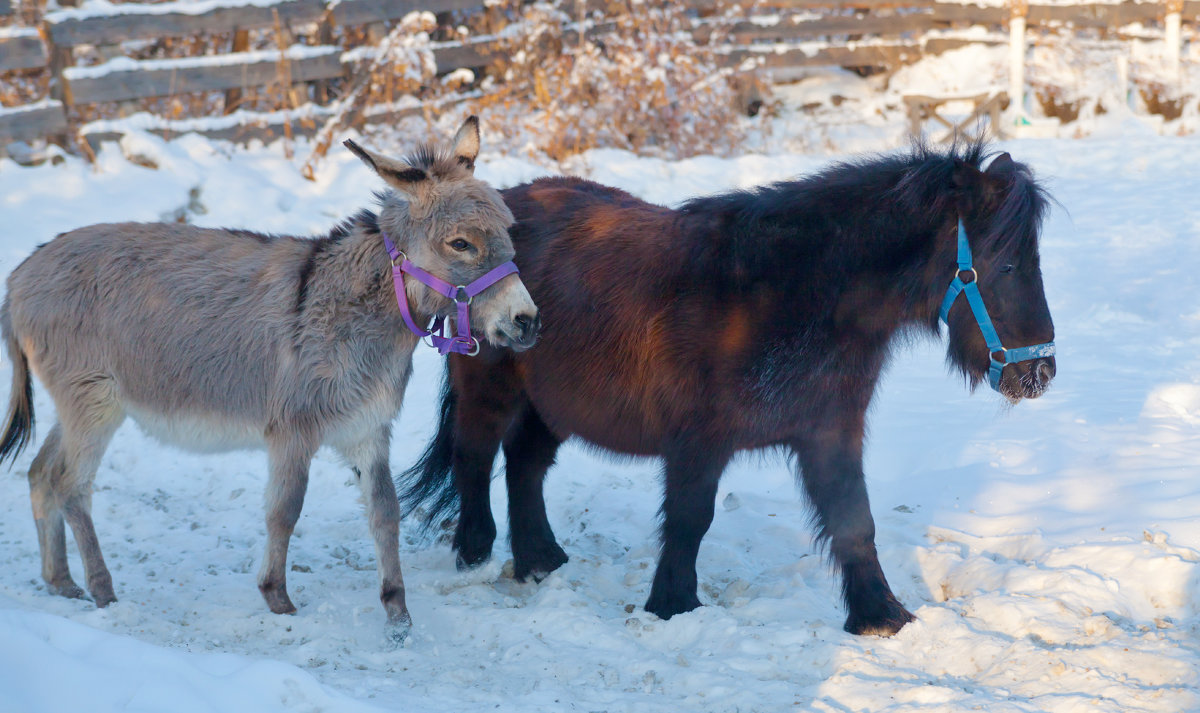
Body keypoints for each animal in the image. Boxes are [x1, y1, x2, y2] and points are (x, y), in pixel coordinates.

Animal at [398, 140, 1056, 633]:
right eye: (1005, 265)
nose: (1040, 372)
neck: (788, 294)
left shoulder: (830, 431)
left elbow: (854, 521)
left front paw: (881, 616)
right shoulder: (699, 441)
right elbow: (690, 519)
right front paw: (673, 606)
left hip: (552, 404)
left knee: (525, 465)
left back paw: (540, 561)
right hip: (491, 387)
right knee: (476, 455)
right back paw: (475, 554)